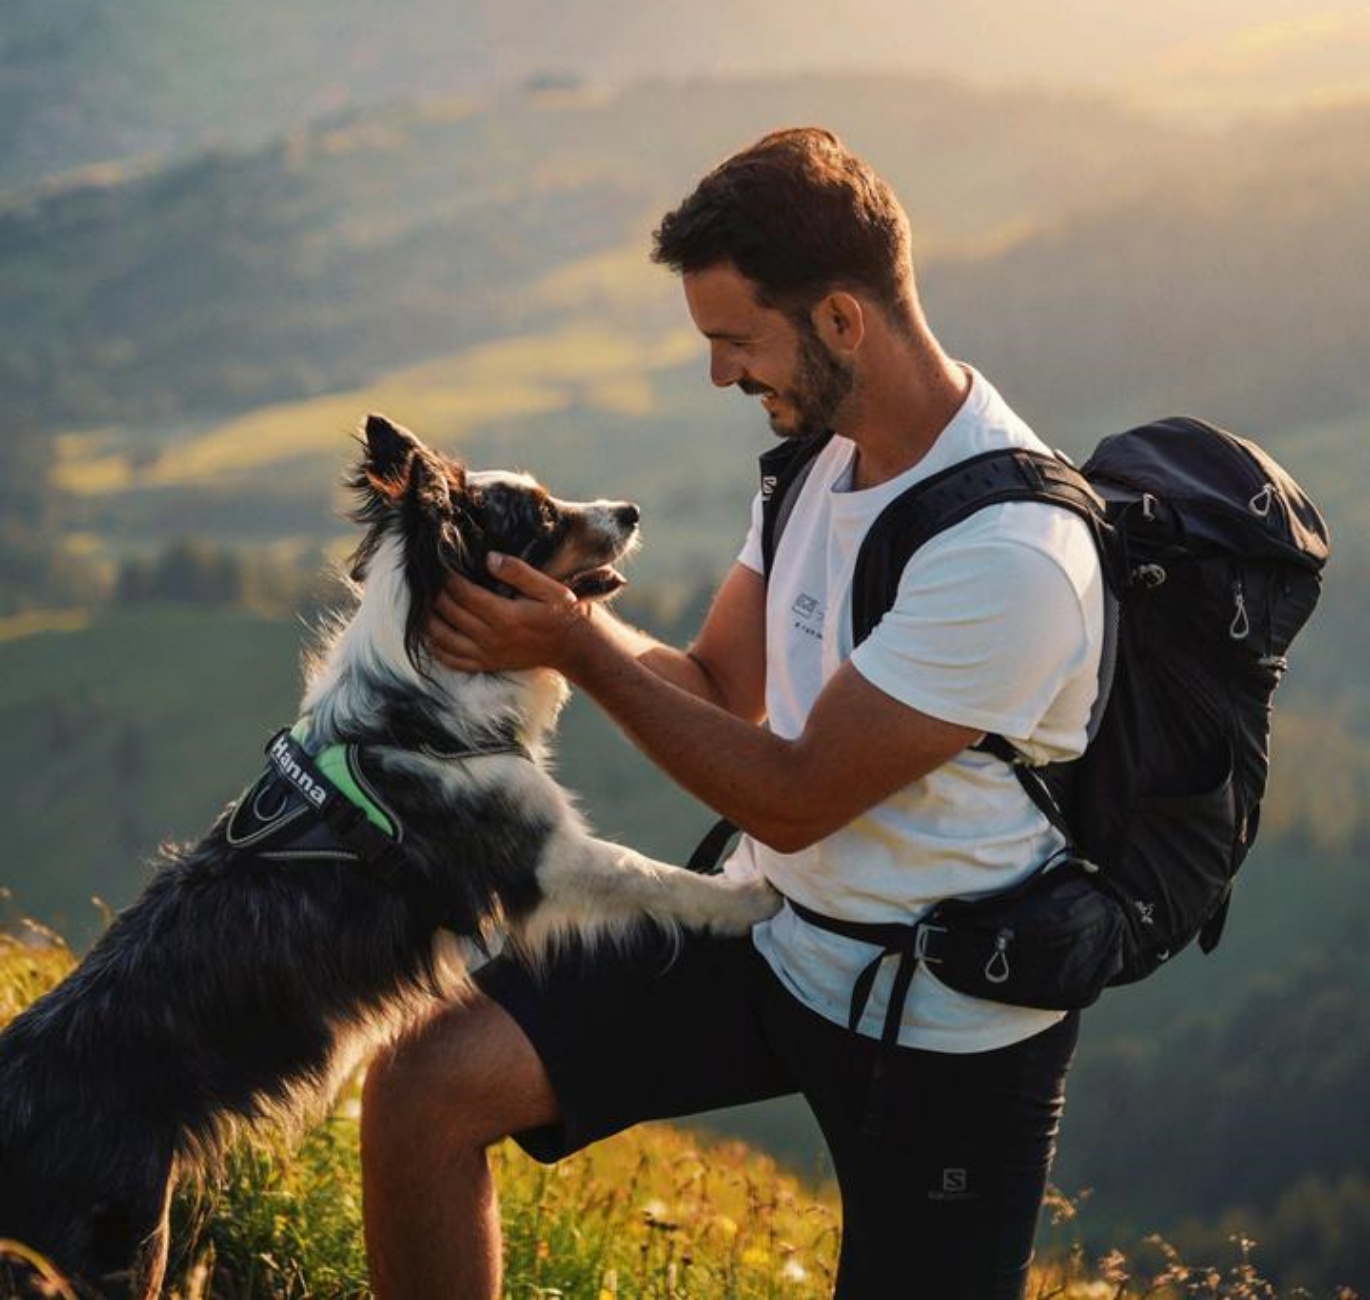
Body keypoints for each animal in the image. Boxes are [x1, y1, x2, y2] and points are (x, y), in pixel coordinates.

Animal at [0, 416, 783, 1298]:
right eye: (544, 518)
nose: (630, 509)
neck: (417, 714)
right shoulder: (542, 856)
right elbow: (650, 875)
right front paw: (750, 899)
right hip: (119, 1240)